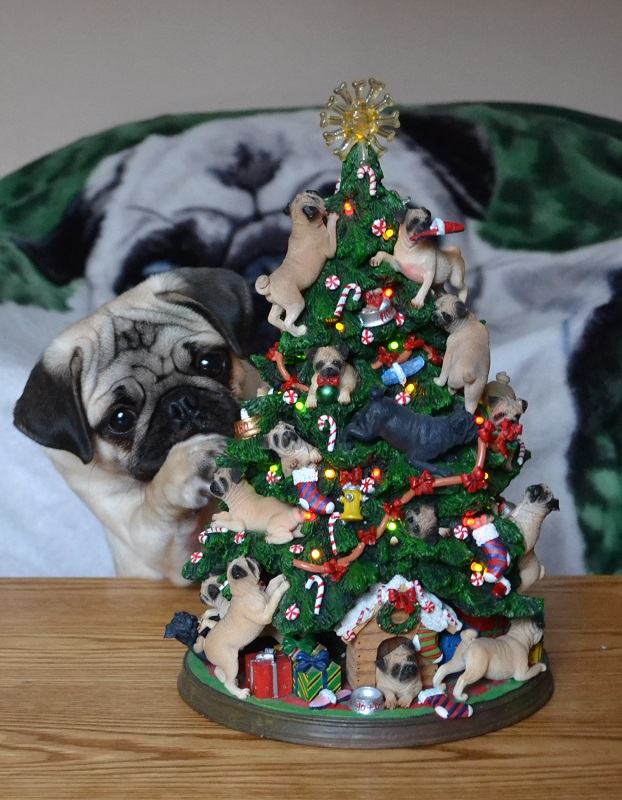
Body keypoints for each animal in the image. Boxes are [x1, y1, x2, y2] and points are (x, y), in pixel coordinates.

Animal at [15, 268, 258, 580]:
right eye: (121, 419)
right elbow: (155, 507)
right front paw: (187, 466)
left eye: (210, 363)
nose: (180, 403)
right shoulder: (161, 551)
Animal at [205, 556, 292, 700]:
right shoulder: (266, 614)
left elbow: (271, 585)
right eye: (249, 564)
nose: (254, 557)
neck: (244, 592)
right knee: (228, 683)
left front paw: (280, 577)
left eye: (246, 558)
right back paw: (240, 693)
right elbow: (275, 597)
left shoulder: (266, 595)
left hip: (225, 662)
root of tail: (205, 645)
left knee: (218, 670)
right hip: (231, 662)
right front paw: (283, 586)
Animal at [255, 192, 338, 336]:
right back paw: (300, 331)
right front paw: (332, 220)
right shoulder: (330, 249)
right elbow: (332, 234)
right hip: (296, 303)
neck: (301, 223)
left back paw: (282, 327)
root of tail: (270, 284)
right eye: (313, 199)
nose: (312, 190)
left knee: (272, 318)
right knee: (288, 322)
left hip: (279, 304)